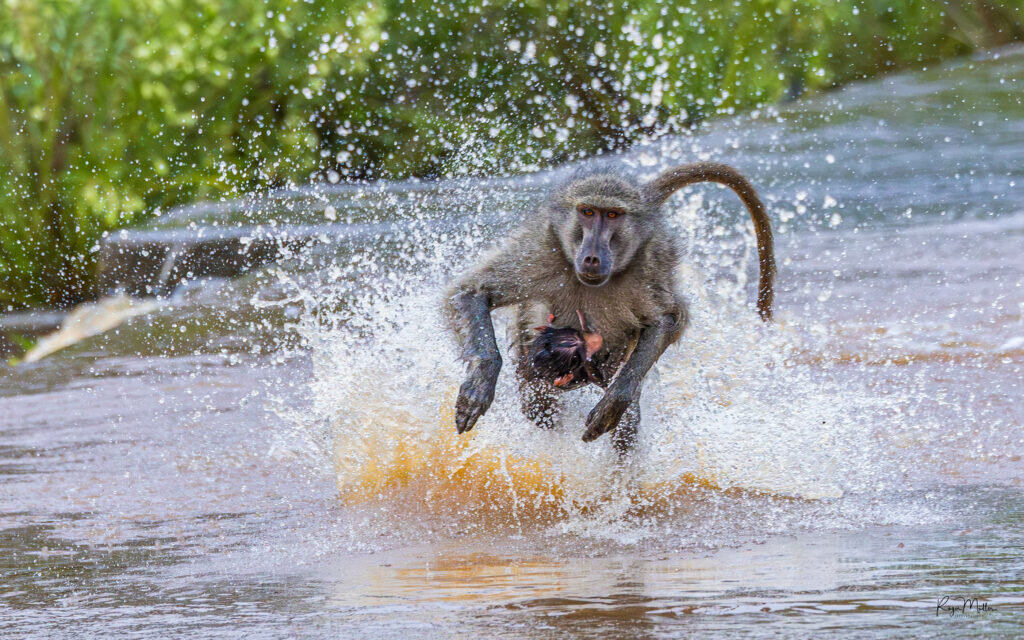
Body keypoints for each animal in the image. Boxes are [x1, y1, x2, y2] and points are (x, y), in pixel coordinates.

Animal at [444, 161, 770, 452]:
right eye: (588, 212)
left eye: (612, 215)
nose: (592, 257)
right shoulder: (538, 253)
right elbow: (471, 293)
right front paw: (480, 382)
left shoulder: (649, 265)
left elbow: (668, 319)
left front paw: (615, 401)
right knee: (539, 404)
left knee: (622, 422)